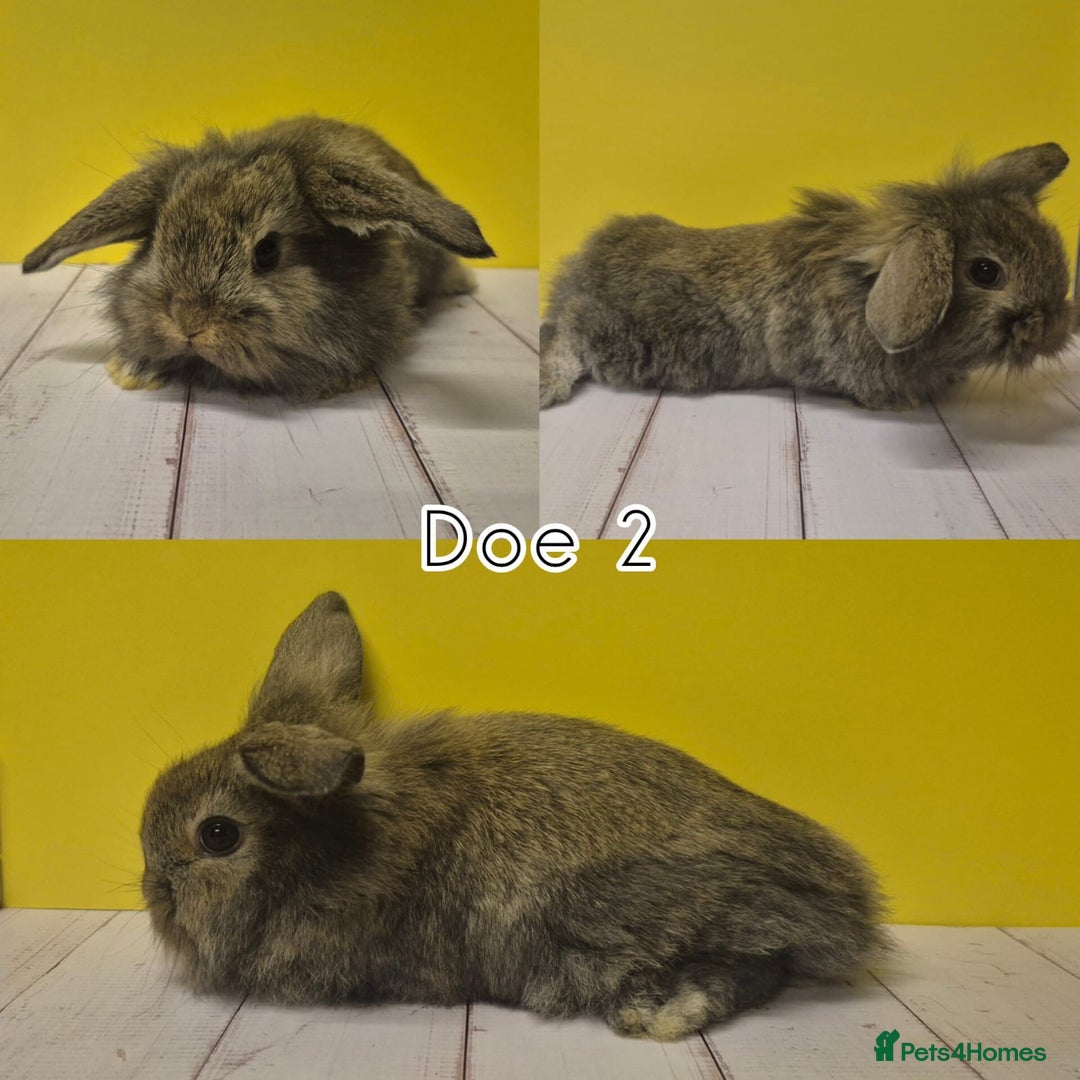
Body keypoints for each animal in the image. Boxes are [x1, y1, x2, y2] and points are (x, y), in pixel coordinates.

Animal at [140, 592, 887, 1041]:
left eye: (217, 835)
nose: (151, 889)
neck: (337, 846)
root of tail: (853, 904)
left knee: (761, 968)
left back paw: (660, 1011)